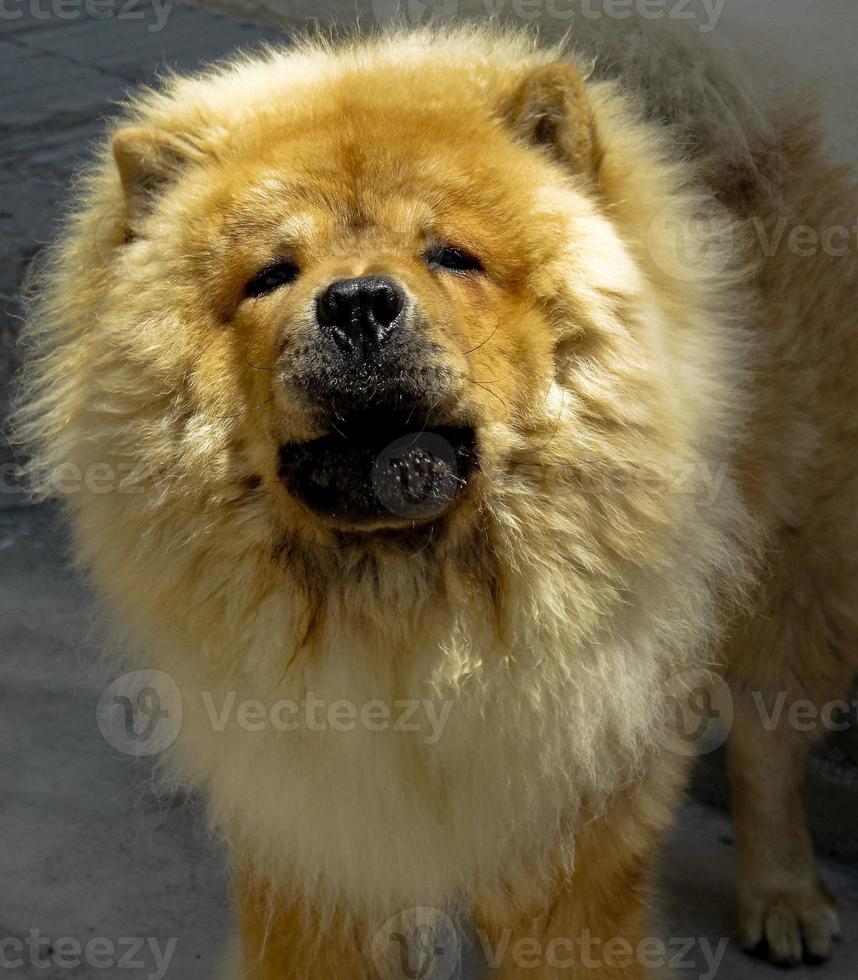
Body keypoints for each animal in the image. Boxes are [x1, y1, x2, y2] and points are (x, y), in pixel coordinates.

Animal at [15, 15, 856, 980]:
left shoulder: (572, 827)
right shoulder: (304, 836)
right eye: (270, 275)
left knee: (768, 730)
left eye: (452, 256)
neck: (405, 609)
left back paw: (786, 898)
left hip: (799, 550)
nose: (356, 303)